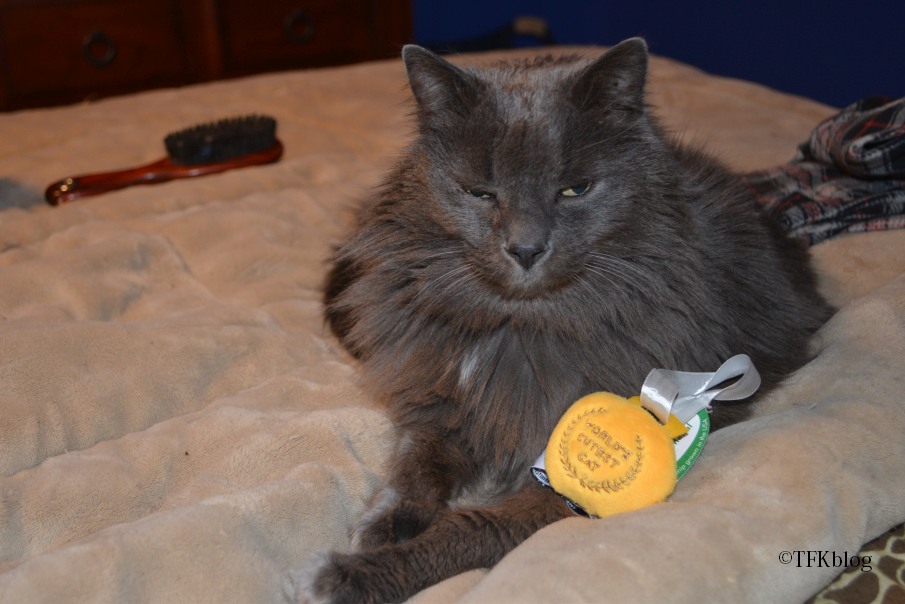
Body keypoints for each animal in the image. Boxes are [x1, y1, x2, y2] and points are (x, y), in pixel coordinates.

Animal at [297, 38, 834, 603]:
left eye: (574, 190)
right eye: (481, 193)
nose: (526, 248)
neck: (520, 331)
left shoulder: (559, 485)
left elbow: (471, 529)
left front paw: (351, 576)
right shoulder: (445, 396)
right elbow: (414, 465)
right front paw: (385, 524)